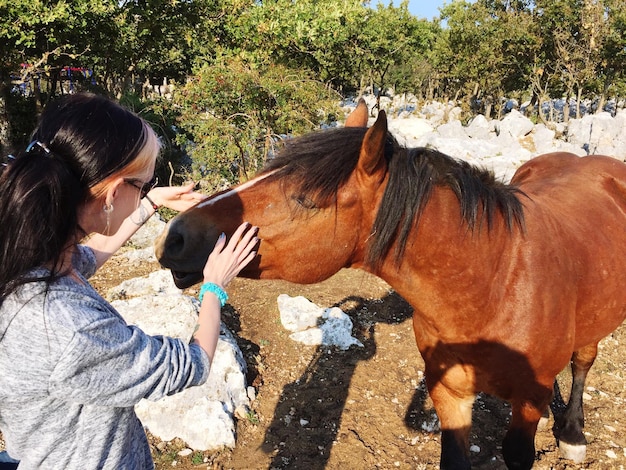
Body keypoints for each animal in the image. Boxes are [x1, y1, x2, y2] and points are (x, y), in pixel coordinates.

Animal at [154, 101, 624, 468]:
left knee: (583, 361)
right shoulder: (449, 393)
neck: (493, 284)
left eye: (305, 199)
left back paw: (572, 433)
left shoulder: (524, 403)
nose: (174, 236)